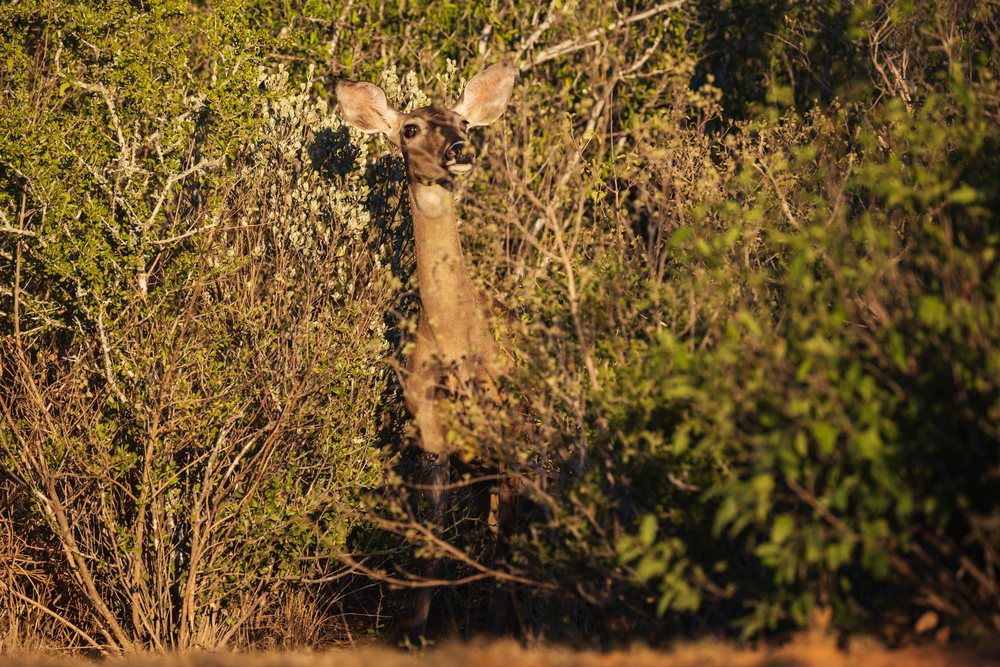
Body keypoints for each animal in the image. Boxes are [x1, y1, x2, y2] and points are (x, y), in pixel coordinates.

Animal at [336, 63, 517, 639]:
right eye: (410, 128)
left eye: (463, 121)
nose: (461, 148)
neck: (455, 339)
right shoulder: (426, 415)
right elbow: (434, 524)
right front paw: (414, 622)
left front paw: (497, 626)